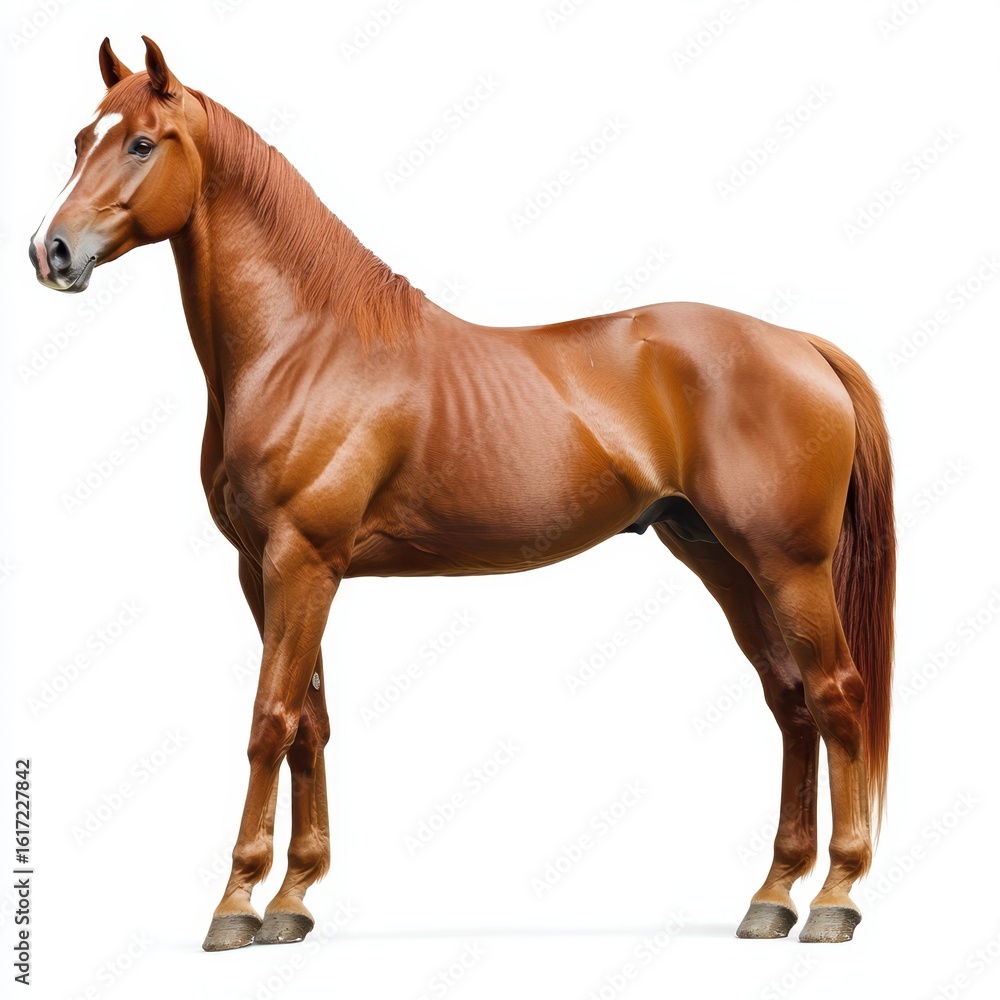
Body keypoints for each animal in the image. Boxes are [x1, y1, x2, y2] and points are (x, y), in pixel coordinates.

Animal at [29, 37, 895, 950]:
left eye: (141, 143)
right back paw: (772, 896)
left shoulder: (302, 563)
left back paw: (835, 898)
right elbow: (310, 726)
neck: (302, 347)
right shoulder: (265, 570)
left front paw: (234, 906)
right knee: (792, 703)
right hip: (721, 559)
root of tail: (800, 344)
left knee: (837, 697)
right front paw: (293, 899)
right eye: (80, 139)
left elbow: (269, 720)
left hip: (789, 566)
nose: (51, 253)